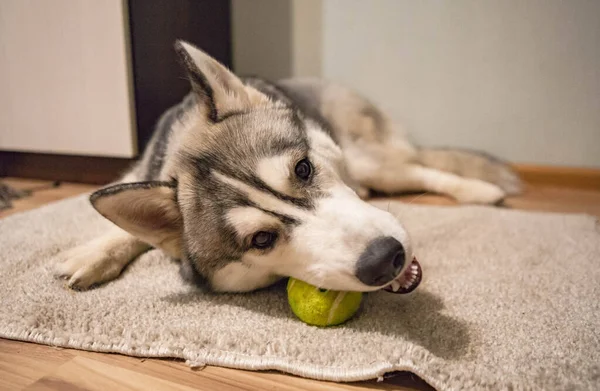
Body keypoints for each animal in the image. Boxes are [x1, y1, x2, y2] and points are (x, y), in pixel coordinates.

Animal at [55, 42, 520, 294]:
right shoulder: (137, 172)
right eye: (261, 240)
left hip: (368, 159)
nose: (387, 259)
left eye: (303, 169)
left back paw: (481, 191)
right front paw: (94, 252)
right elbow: (120, 226)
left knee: (419, 169)